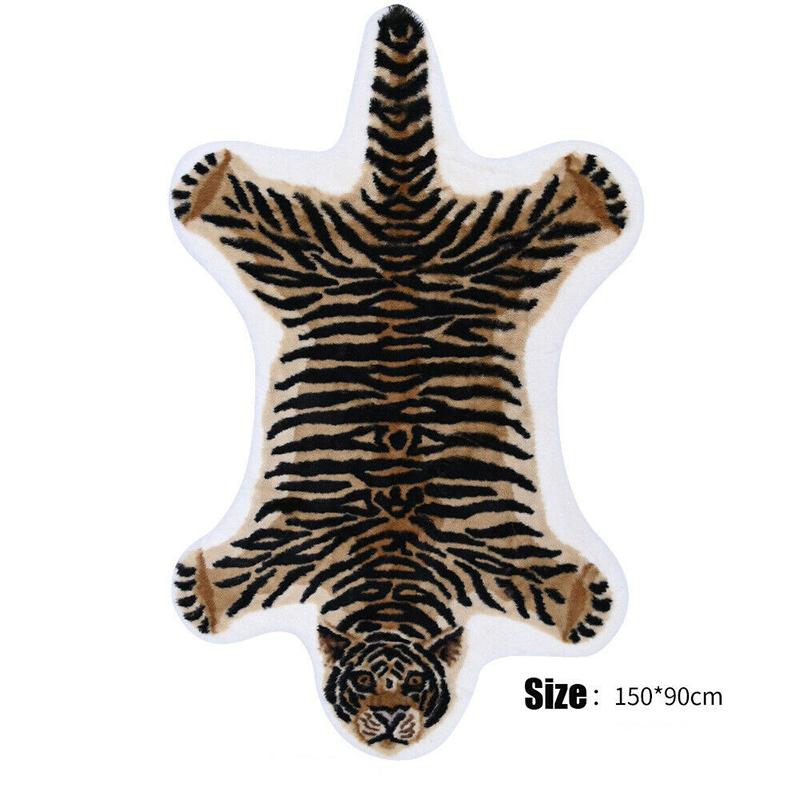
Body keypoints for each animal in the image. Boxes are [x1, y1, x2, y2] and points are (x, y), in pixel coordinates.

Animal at [171, 4, 629, 753]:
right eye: (362, 681)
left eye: (412, 682)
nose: (387, 721)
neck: (392, 571)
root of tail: (400, 220)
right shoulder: (294, 547)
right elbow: (238, 577)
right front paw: (204, 589)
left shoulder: (491, 555)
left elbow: (551, 585)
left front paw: (583, 601)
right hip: (309, 251)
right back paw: (207, 185)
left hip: (491, 251)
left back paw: (590, 192)